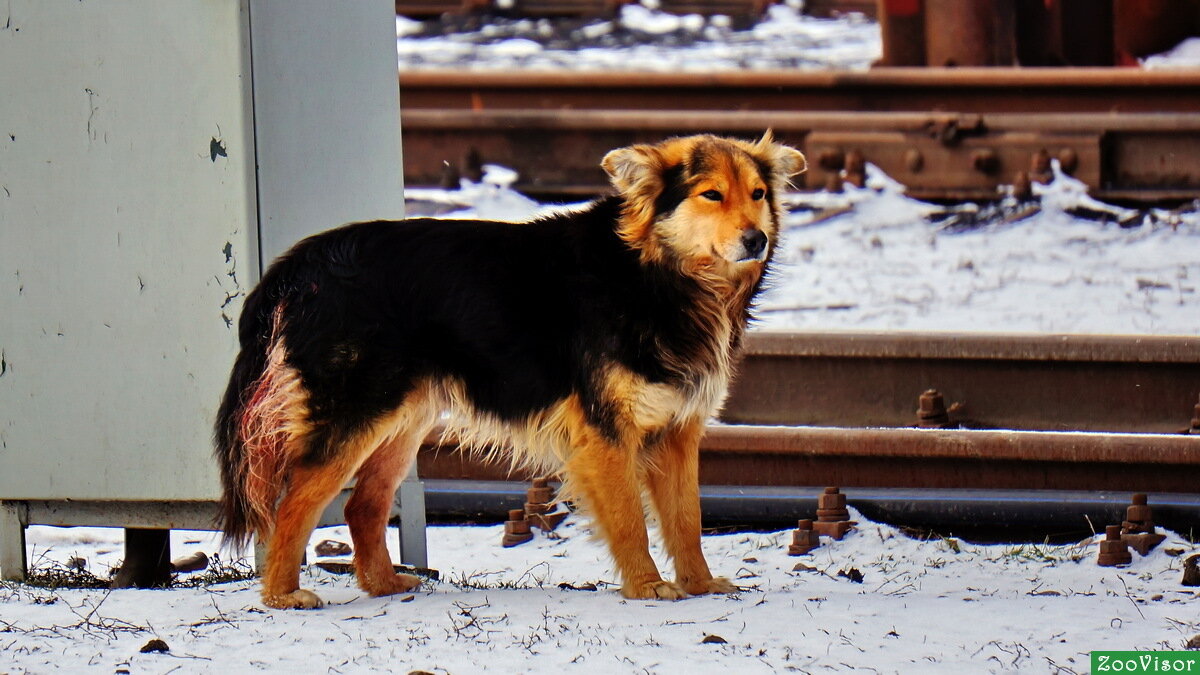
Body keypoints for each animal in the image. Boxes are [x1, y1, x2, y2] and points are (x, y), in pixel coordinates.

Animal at [216, 130, 806, 605]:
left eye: (758, 195)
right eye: (712, 195)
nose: (757, 239)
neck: (655, 274)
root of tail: (301, 265)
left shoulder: (679, 430)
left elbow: (687, 520)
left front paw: (700, 584)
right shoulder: (605, 433)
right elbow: (630, 521)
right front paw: (646, 586)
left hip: (402, 417)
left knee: (363, 505)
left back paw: (383, 585)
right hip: (353, 413)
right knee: (292, 503)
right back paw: (282, 595)